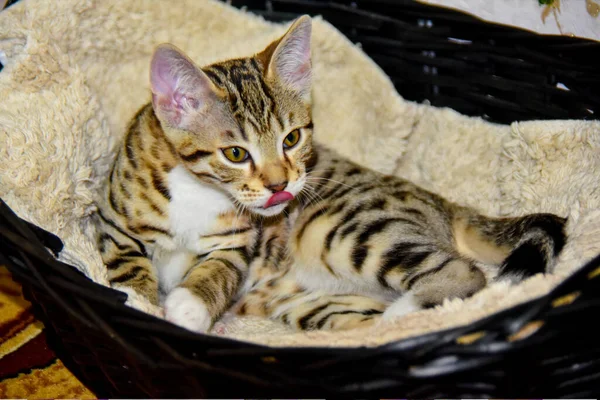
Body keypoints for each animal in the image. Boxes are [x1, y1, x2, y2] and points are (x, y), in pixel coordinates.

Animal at [95, 14, 568, 332]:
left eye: (291, 139)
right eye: (235, 153)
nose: (279, 185)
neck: (196, 188)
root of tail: (442, 202)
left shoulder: (238, 244)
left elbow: (220, 269)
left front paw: (189, 306)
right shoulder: (112, 221)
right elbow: (125, 263)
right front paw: (142, 299)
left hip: (350, 231)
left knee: (466, 275)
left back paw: (402, 317)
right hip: (318, 302)